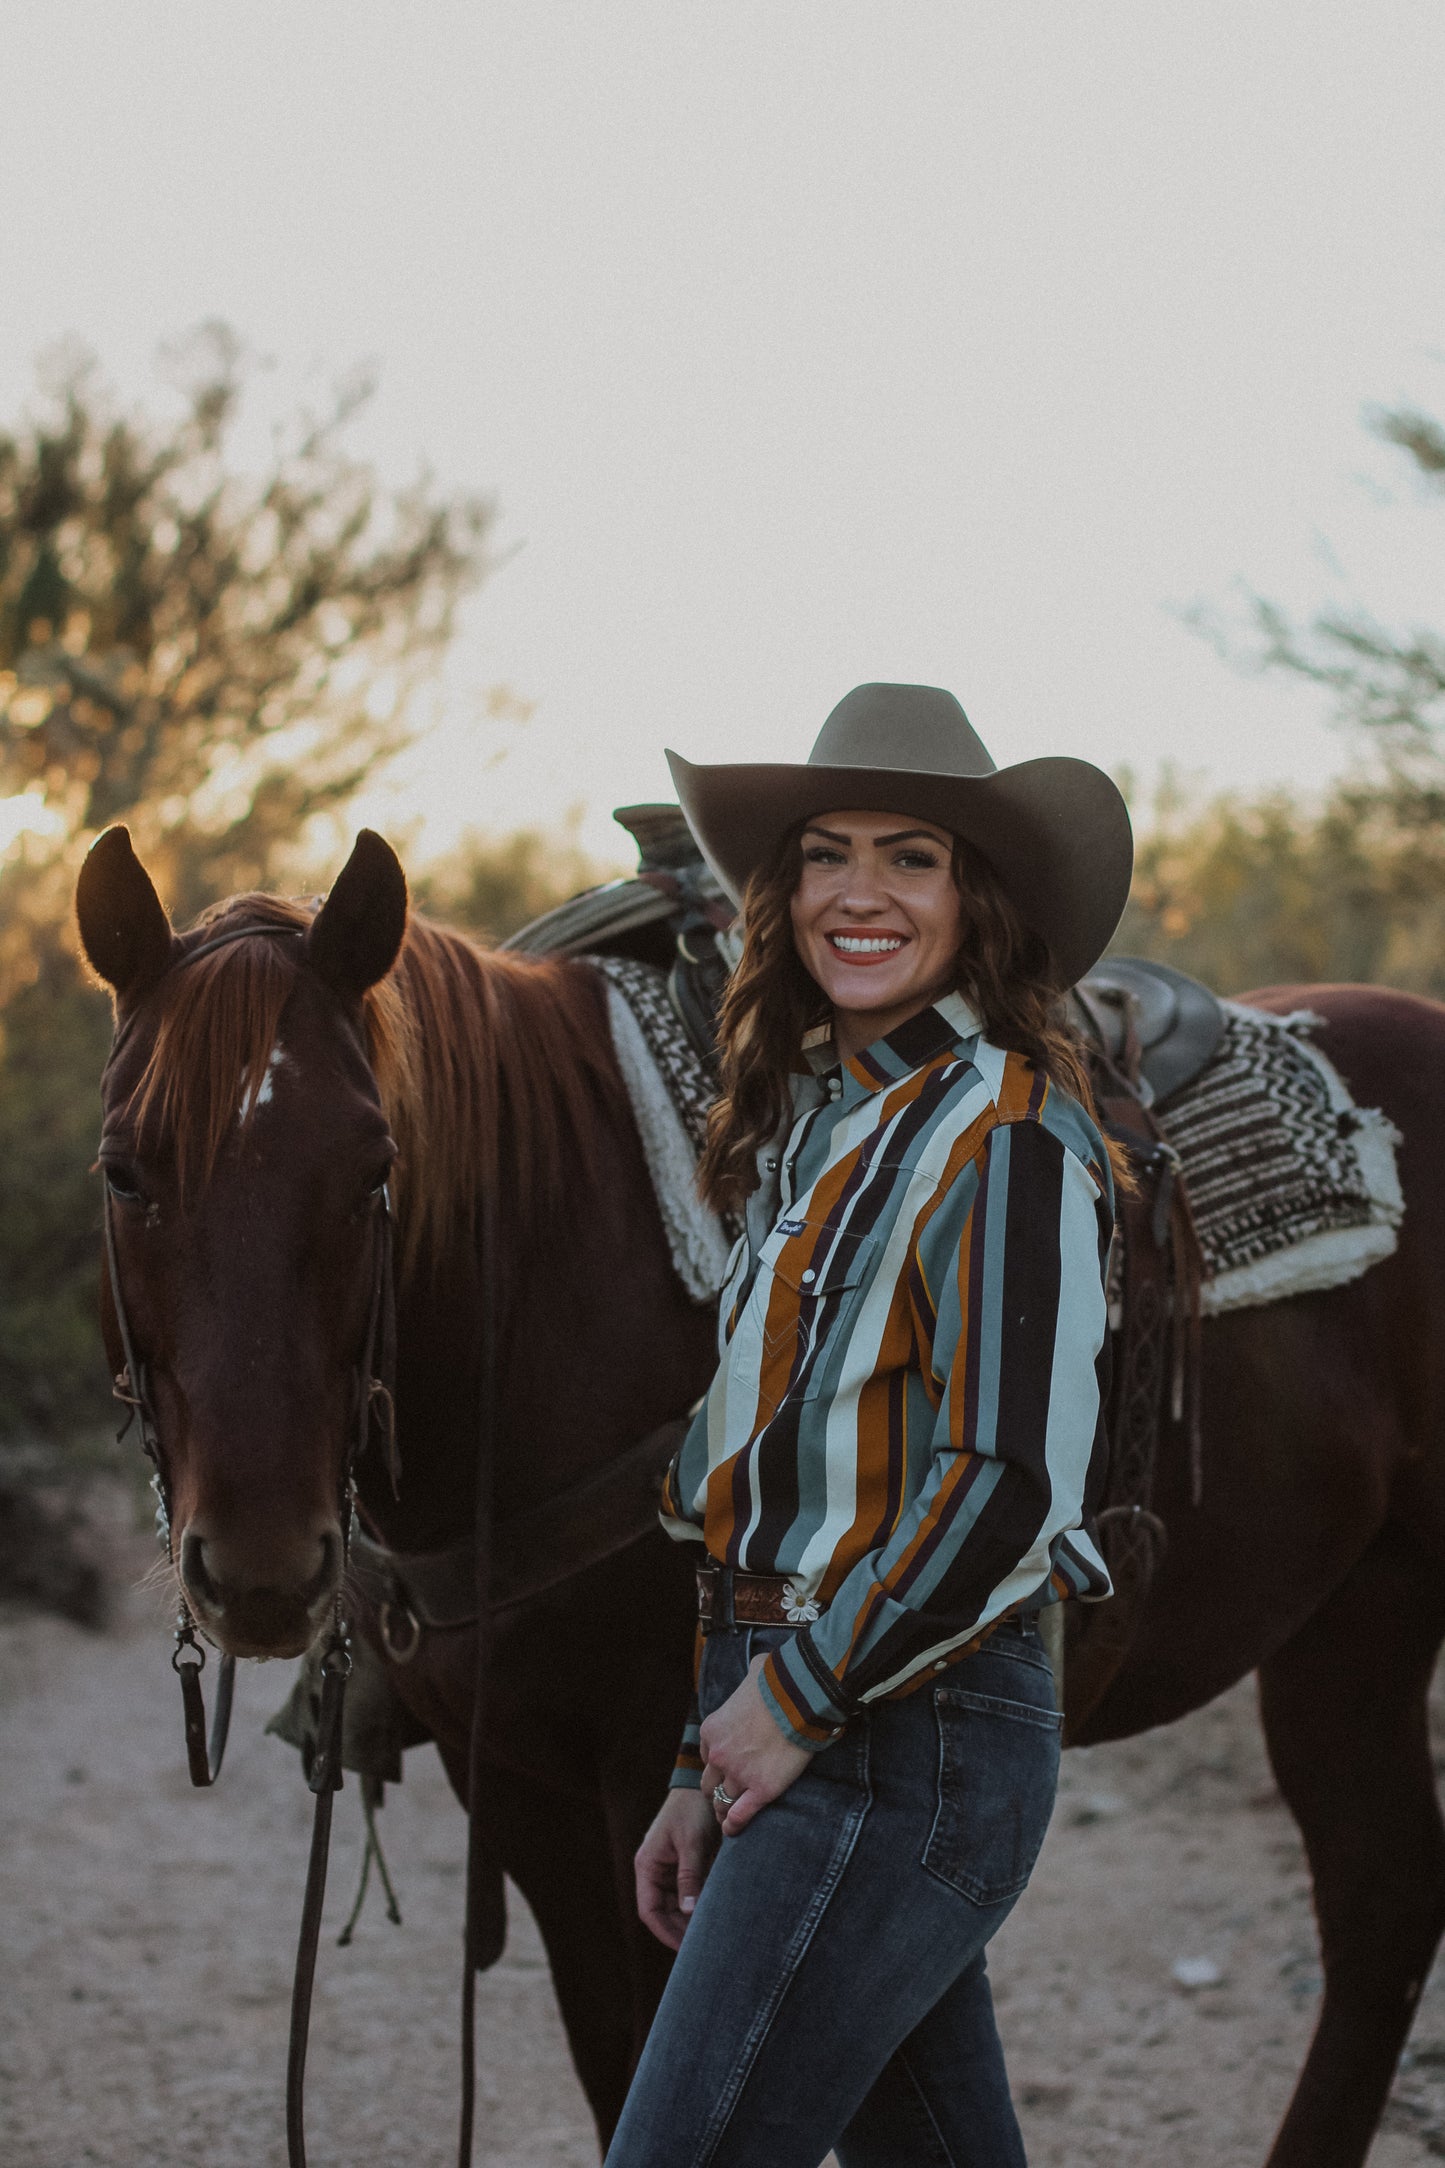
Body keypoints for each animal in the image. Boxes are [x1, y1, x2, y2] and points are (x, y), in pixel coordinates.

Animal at [76, 819, 1445, 2159]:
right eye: (122, 1173)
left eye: (374, 1166)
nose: (260, 1570)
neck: (552, 1270)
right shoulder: (515, 1786)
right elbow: (608, 2062)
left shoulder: (644, 1774)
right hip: (1349, 1623)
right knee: (1381, 1896)